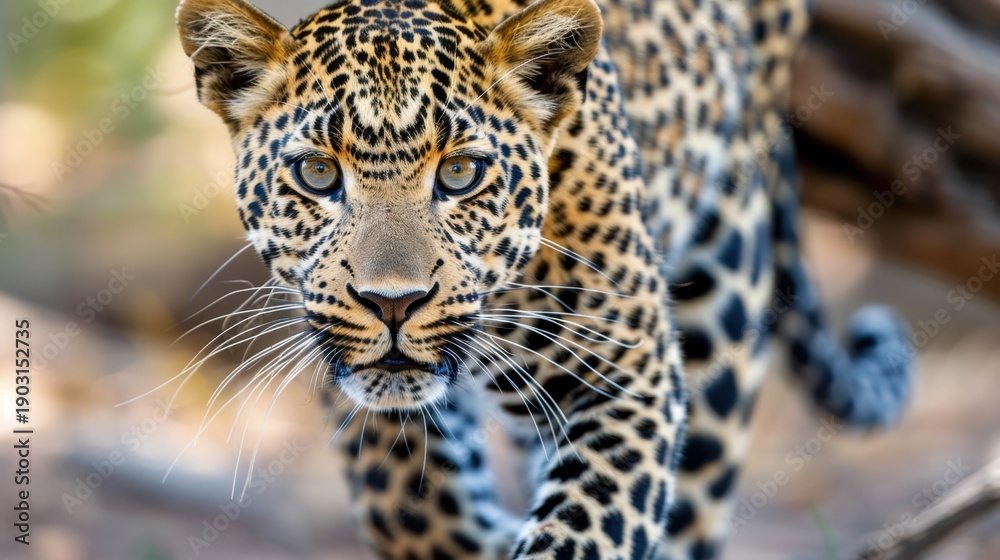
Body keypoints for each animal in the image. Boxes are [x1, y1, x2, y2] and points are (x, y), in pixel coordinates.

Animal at [175, 0, 915, 558]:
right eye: (318, 173)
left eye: (460, 173)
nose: (393, 305)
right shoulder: (341, 362)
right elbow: (412, 513)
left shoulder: (627, 379)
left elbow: (586, 529)